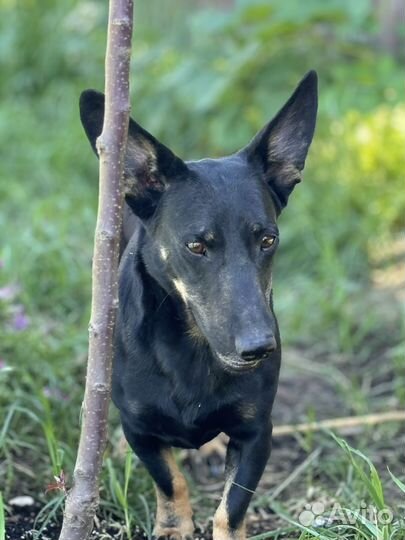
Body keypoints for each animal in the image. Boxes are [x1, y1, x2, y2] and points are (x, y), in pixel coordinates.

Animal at [79, 71, 318, 540]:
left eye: (268, 240)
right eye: (196, 246)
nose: (259, 348)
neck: (191, 347)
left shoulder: (256, 432)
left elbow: (232, 507)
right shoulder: (140, 429)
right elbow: (169, 480)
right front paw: (173, 526)